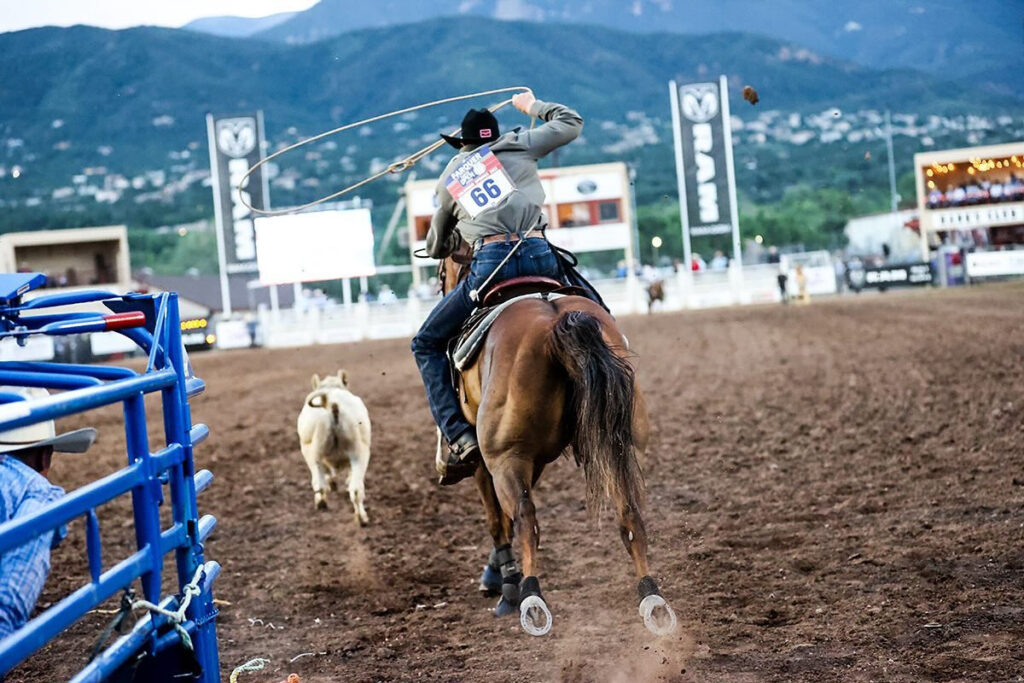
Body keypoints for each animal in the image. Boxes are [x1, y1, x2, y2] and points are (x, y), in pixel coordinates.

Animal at [296, 370, 372, 528]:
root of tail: (331, 404)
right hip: (358, 453)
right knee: (355, 489)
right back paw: (361, 518)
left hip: (314, 455)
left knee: (320, 483)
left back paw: (322, 503)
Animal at [438, 242, 671, 638]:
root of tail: (556, 322)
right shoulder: (535, 461)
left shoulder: (488, 461)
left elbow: (499, 519)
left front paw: (503, 582)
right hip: (615, 448)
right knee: (629, 512)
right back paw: (651, 598)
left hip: (505, 455)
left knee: (526, 516)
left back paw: (530, 599)